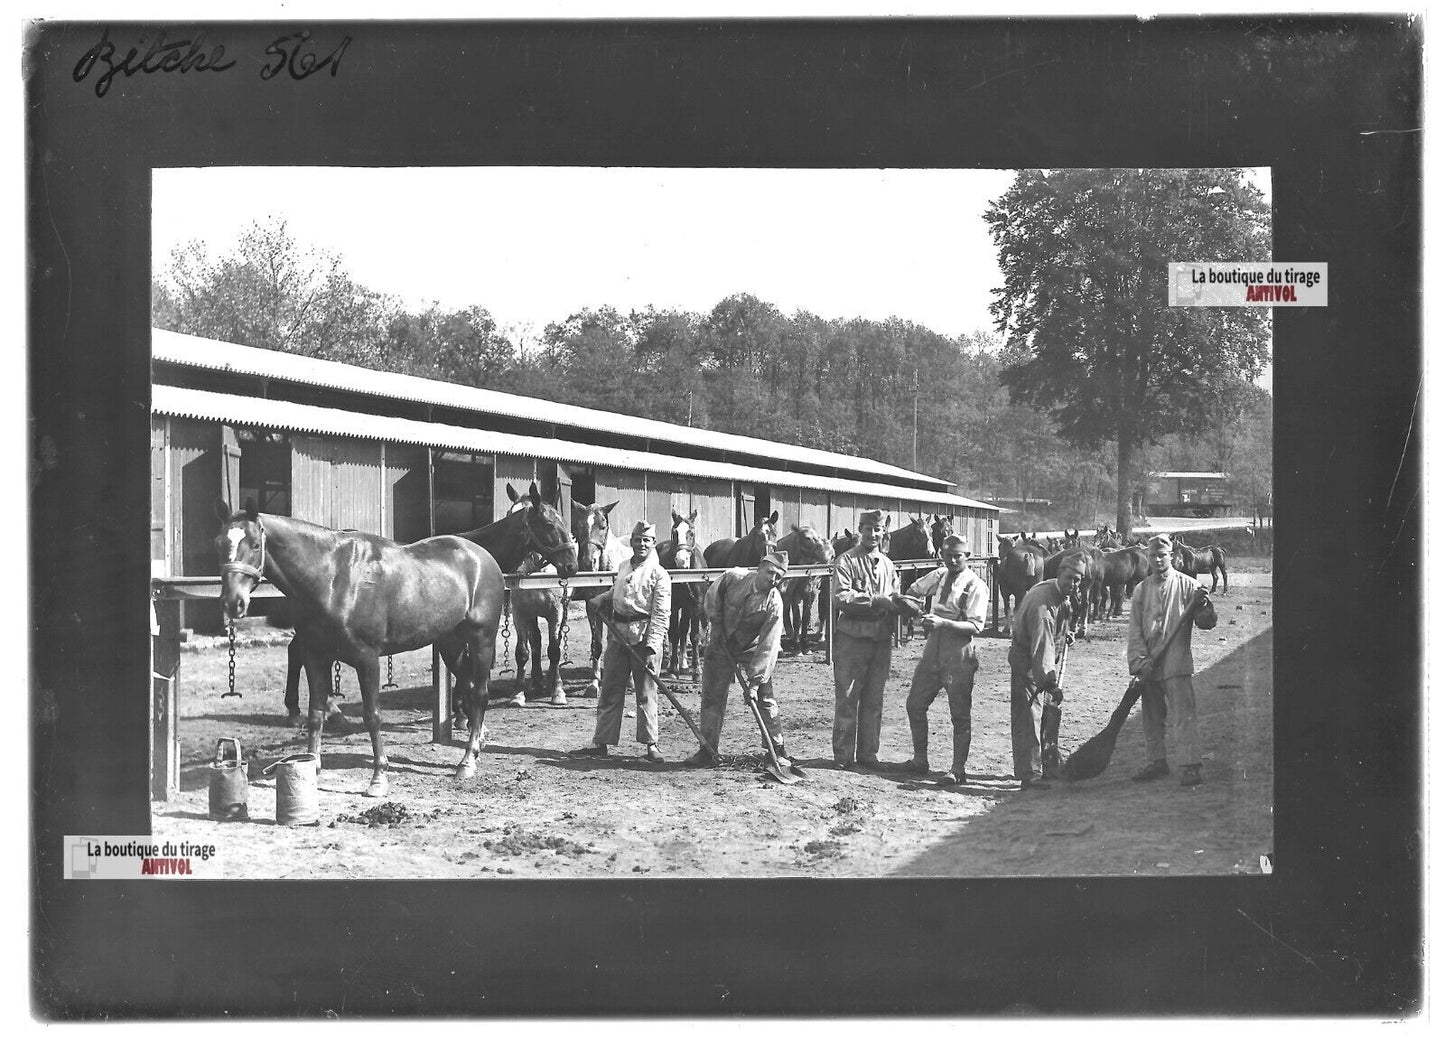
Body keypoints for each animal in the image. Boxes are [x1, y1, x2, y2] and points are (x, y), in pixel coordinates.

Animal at [213, 499, 508, 791]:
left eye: (254, 544)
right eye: (219, 543)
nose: (232, 602)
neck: (332, 577)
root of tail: (483, 557)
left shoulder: (366, 659)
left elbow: (372, 715)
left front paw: (379, 776)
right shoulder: (315, 655)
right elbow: (316, 712)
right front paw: (314, 765)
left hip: (481, 639)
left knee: (480, 693)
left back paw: (466, 762)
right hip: (451, 643)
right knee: (469, 684)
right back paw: (477, 742)